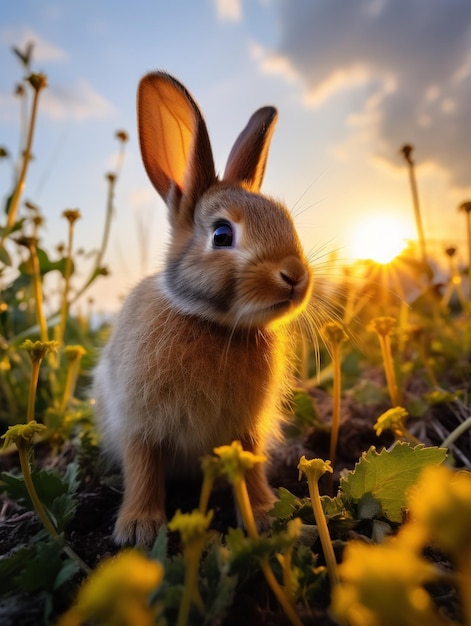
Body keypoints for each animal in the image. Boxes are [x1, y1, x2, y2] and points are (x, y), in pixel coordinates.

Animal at [92, 70, 314, 544]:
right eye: (222, 235)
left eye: (286, 221)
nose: (295, 275)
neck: (214, 324)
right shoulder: (139, 424)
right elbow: (142, 469)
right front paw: (139, 529)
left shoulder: (246, 431)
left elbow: (250, 470)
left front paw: (265, 514)